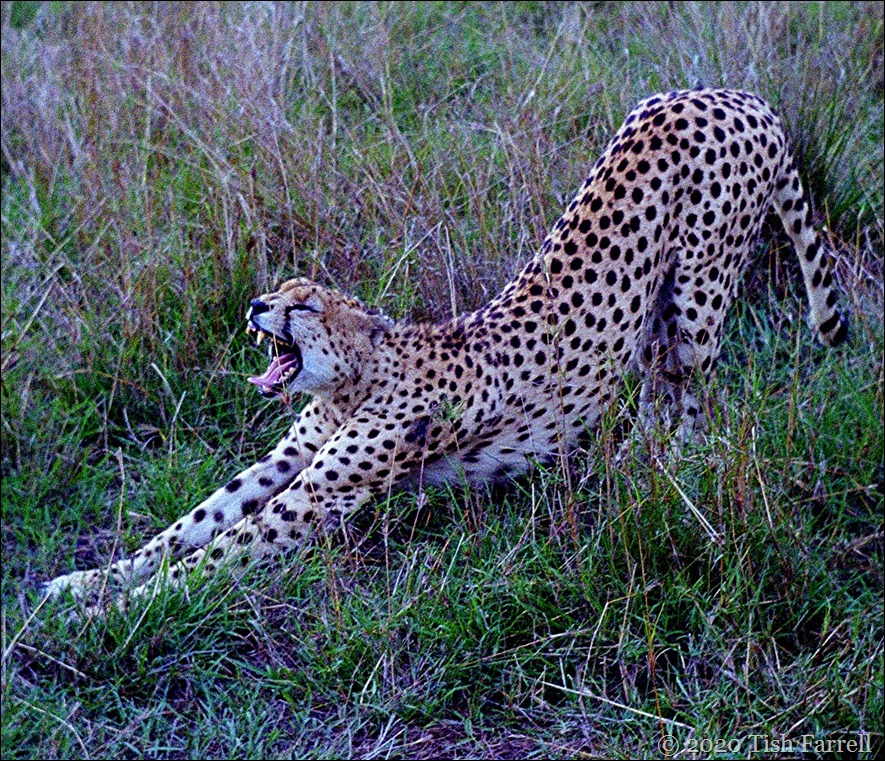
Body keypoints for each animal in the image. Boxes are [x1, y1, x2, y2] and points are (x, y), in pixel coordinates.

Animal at [43, 88, 846, 607]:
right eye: (278, 288)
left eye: (303, 303)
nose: (254, 305)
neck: (353, 380)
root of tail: (732, 92)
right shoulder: (291, 457)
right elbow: (196, 521)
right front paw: (90, 581)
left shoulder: (321, 490)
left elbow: (218, 549)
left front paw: (113, 614)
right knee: (659, 384)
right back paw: (620, 469)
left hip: (699, 291)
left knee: (692, 395)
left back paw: (661, 473)